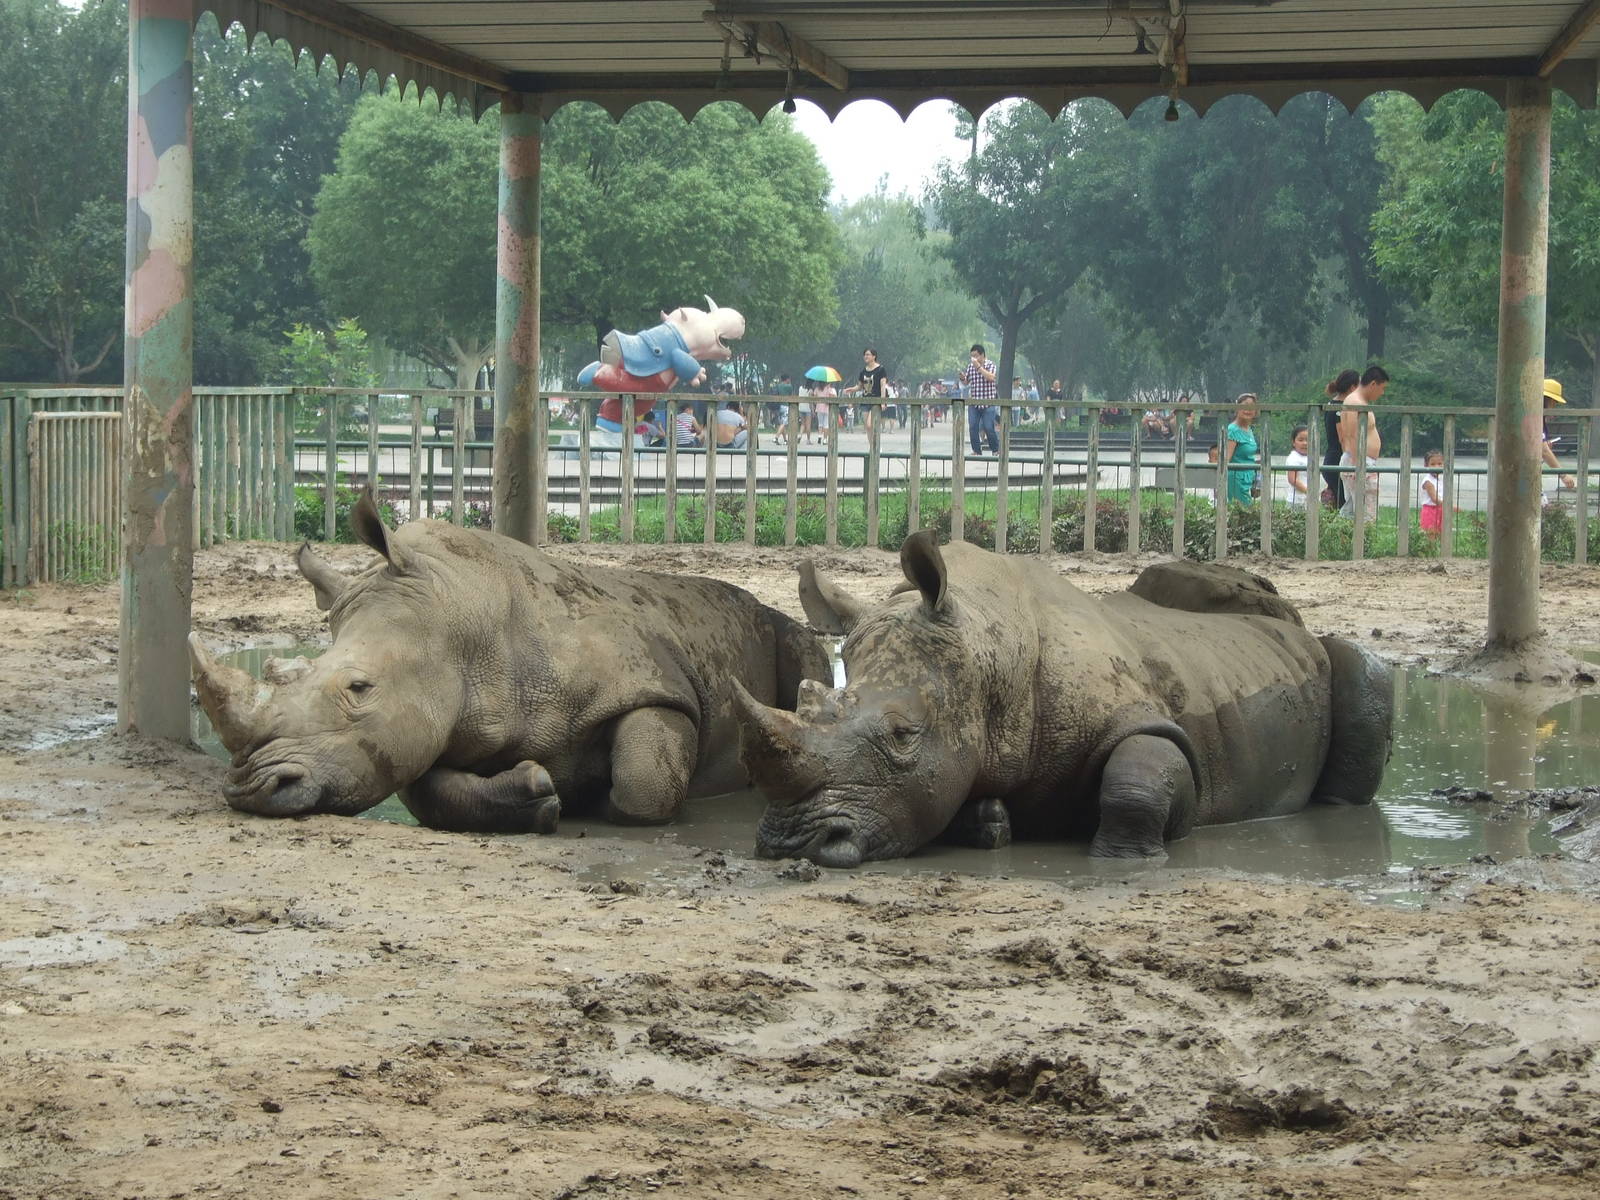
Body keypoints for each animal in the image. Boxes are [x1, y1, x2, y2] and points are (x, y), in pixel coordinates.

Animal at [189, 489, 829, 833]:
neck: (465, 625)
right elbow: (431, 793)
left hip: (775, 627)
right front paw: (539, 794)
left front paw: (594, 798)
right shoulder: (434, 719)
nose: (252, 787)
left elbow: (644, 785)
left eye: (359, 688)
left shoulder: (657, 688)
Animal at [731, 533, 1392, 865]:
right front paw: (990, 822)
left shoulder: (1147, 721)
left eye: (902, 735)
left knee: (1365, 671)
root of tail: (1295, 626)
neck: (990, 651)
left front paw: (1120, 859)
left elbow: (1137, 780)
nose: (790, 844)